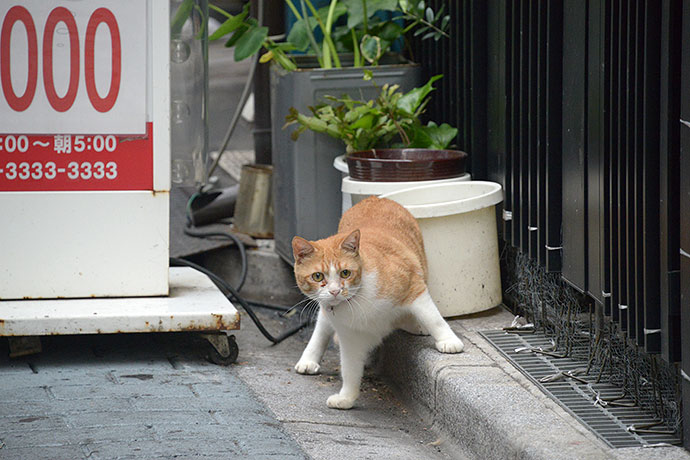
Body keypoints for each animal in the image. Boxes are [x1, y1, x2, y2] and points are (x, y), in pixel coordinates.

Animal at [290, 196, 462, 408]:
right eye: (317, 276)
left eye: (345, 273)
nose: (335, 291)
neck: (356, 300)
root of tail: (374, 198)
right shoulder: (349, 338)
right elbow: (350, 369)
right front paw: (346, 398)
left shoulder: (414, 287)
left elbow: (433, 318)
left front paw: (448, 341)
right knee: (322, 326)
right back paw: (309, 359)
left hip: (422, 266)